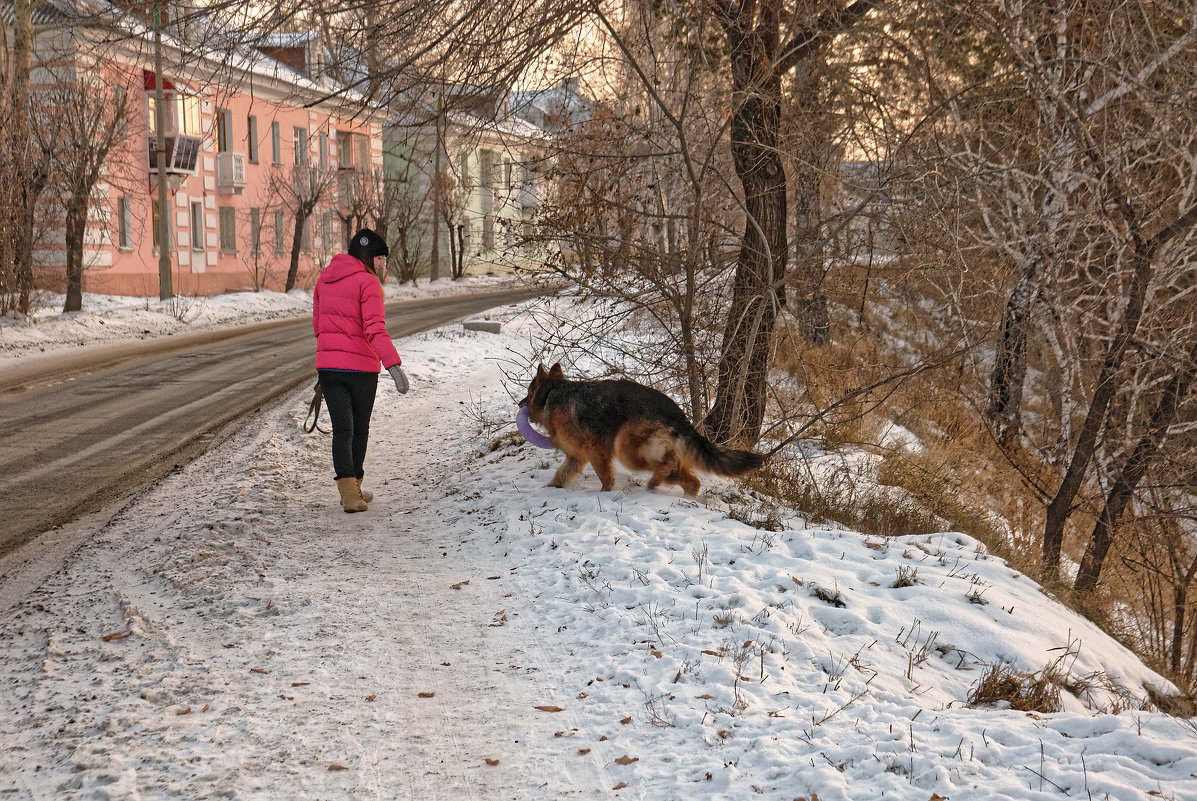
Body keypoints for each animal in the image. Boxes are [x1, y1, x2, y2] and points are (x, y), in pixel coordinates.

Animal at [521, 363, 766, 500]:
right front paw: (548, 489)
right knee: (691, 480)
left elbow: (606, 478)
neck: (552, 392)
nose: (520, 404)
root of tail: (677, 413)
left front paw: (605, 493)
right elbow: (560, 476)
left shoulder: (596, 453)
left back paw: (655, 483)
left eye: (528, 392)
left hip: (626, 449)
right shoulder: (576, 457)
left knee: (665, 467)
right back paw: (686, 496)